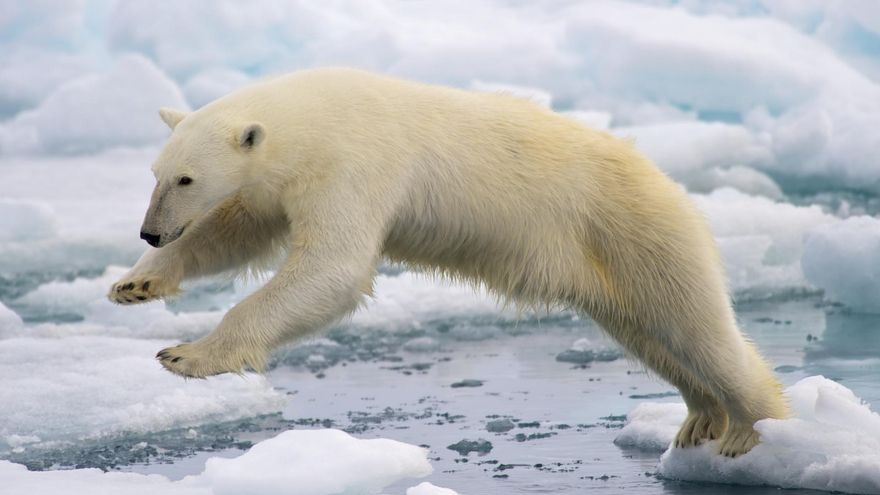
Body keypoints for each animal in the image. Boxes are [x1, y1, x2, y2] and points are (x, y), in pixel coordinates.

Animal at [108, 67, 788, 457]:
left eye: (186, 178)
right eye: (156, 173)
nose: (149, 231)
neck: (312, 116)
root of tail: (668, 183)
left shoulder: (354, 162)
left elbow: (332, 267)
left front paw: (186, 355)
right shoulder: (282, 181)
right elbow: (237, 231)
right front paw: (136, 284)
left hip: (635, 230)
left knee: (696, 326)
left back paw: (750, 429)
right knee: (651, 335)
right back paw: (700, 418)